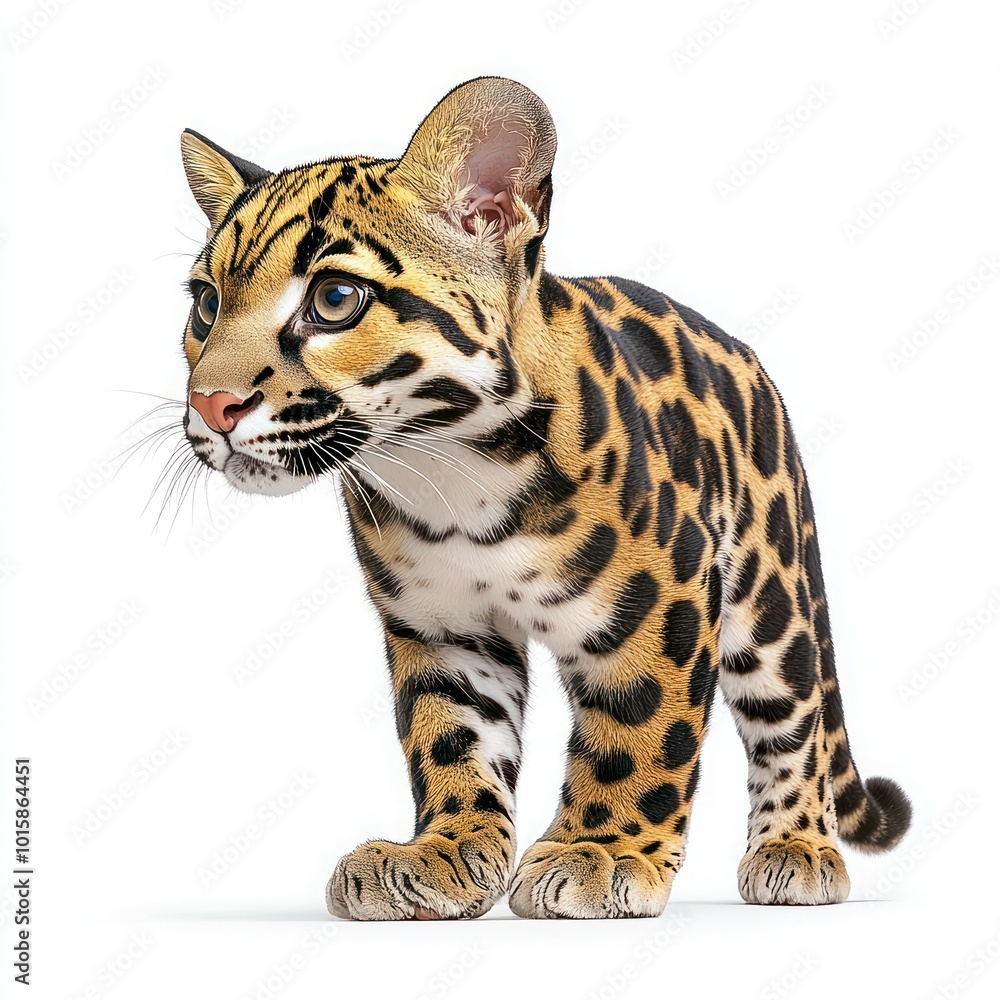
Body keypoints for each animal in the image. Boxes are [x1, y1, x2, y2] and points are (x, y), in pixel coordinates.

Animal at [176, 76, 911, 919]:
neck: (448, 472)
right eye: (205, 305)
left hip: (771, 595)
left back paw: (798, 850)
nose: (211, 405)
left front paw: (600, 853)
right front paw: (443, 854)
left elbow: (638, 737)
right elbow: (453, 738)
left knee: (795, 721)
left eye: (334, 299)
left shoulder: (663, 603)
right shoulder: (442, 627)